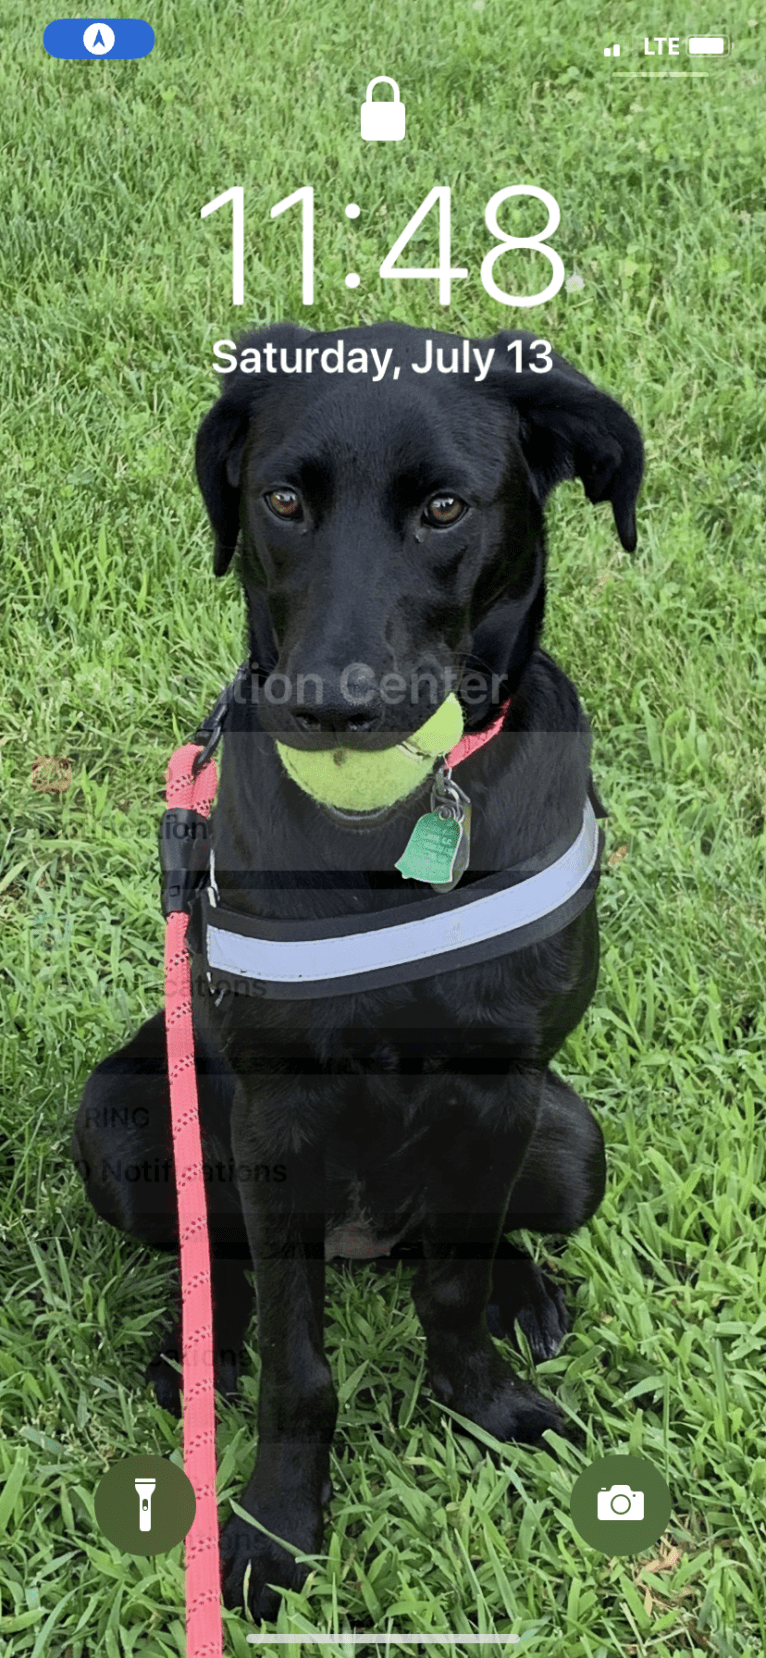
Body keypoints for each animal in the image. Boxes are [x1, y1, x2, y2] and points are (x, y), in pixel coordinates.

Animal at [74, 323, 643, 1618]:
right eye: (283, 499)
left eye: (444, 506)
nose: (336, 711)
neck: (390, 836)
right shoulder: (279, 1117)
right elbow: (301, 1363)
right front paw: (278, 1524)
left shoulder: (496, 1086)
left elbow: (451, 1289)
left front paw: (481, 1405)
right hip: (126, 1119)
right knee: (222, 1259)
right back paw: (198, 1346)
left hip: (570, 1137)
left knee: (466, 1242)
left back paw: (525, 1292)